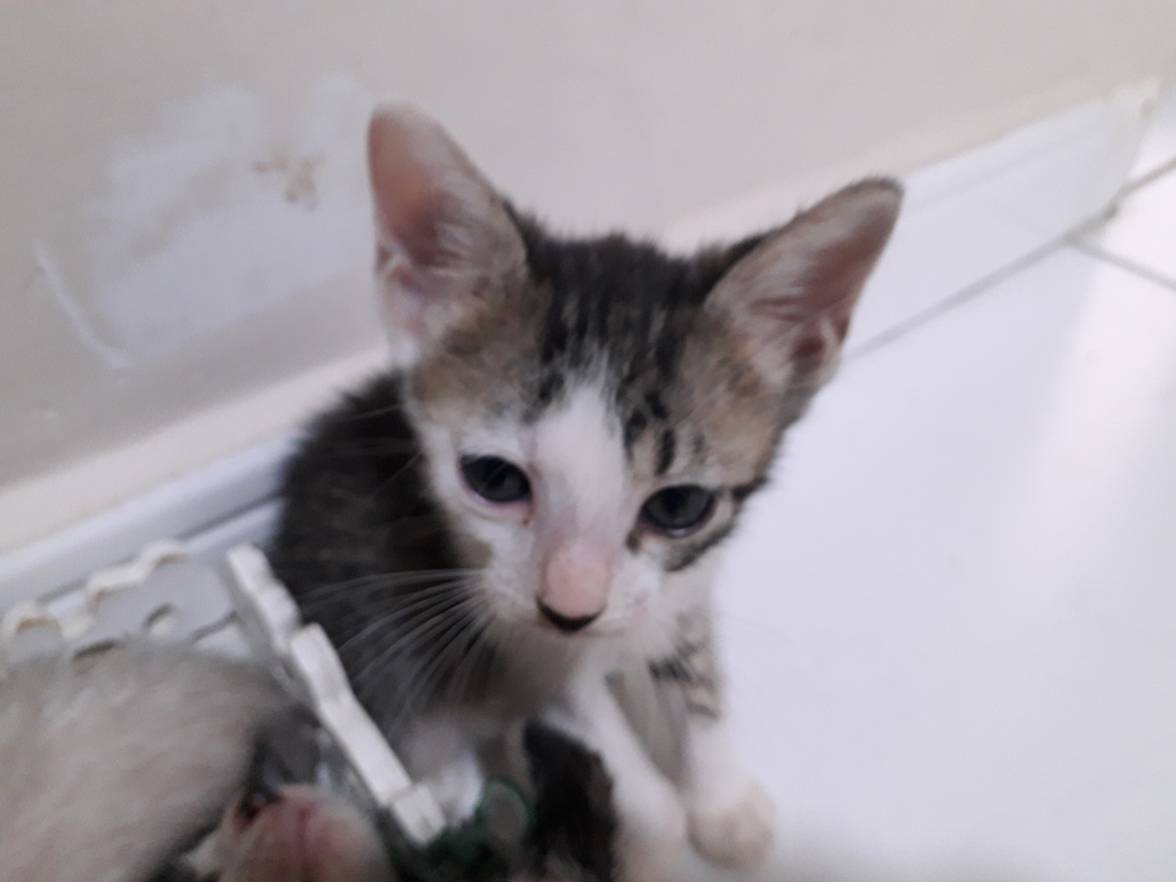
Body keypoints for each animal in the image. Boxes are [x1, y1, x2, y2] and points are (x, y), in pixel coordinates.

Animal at [269, 103, 901, 879]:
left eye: (678, 506)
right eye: (495, 480)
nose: (570, 609)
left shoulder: (683, 588)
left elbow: (699, 687)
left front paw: (724, 803)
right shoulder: (518, 643)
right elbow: (634, 784)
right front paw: (650, 847)